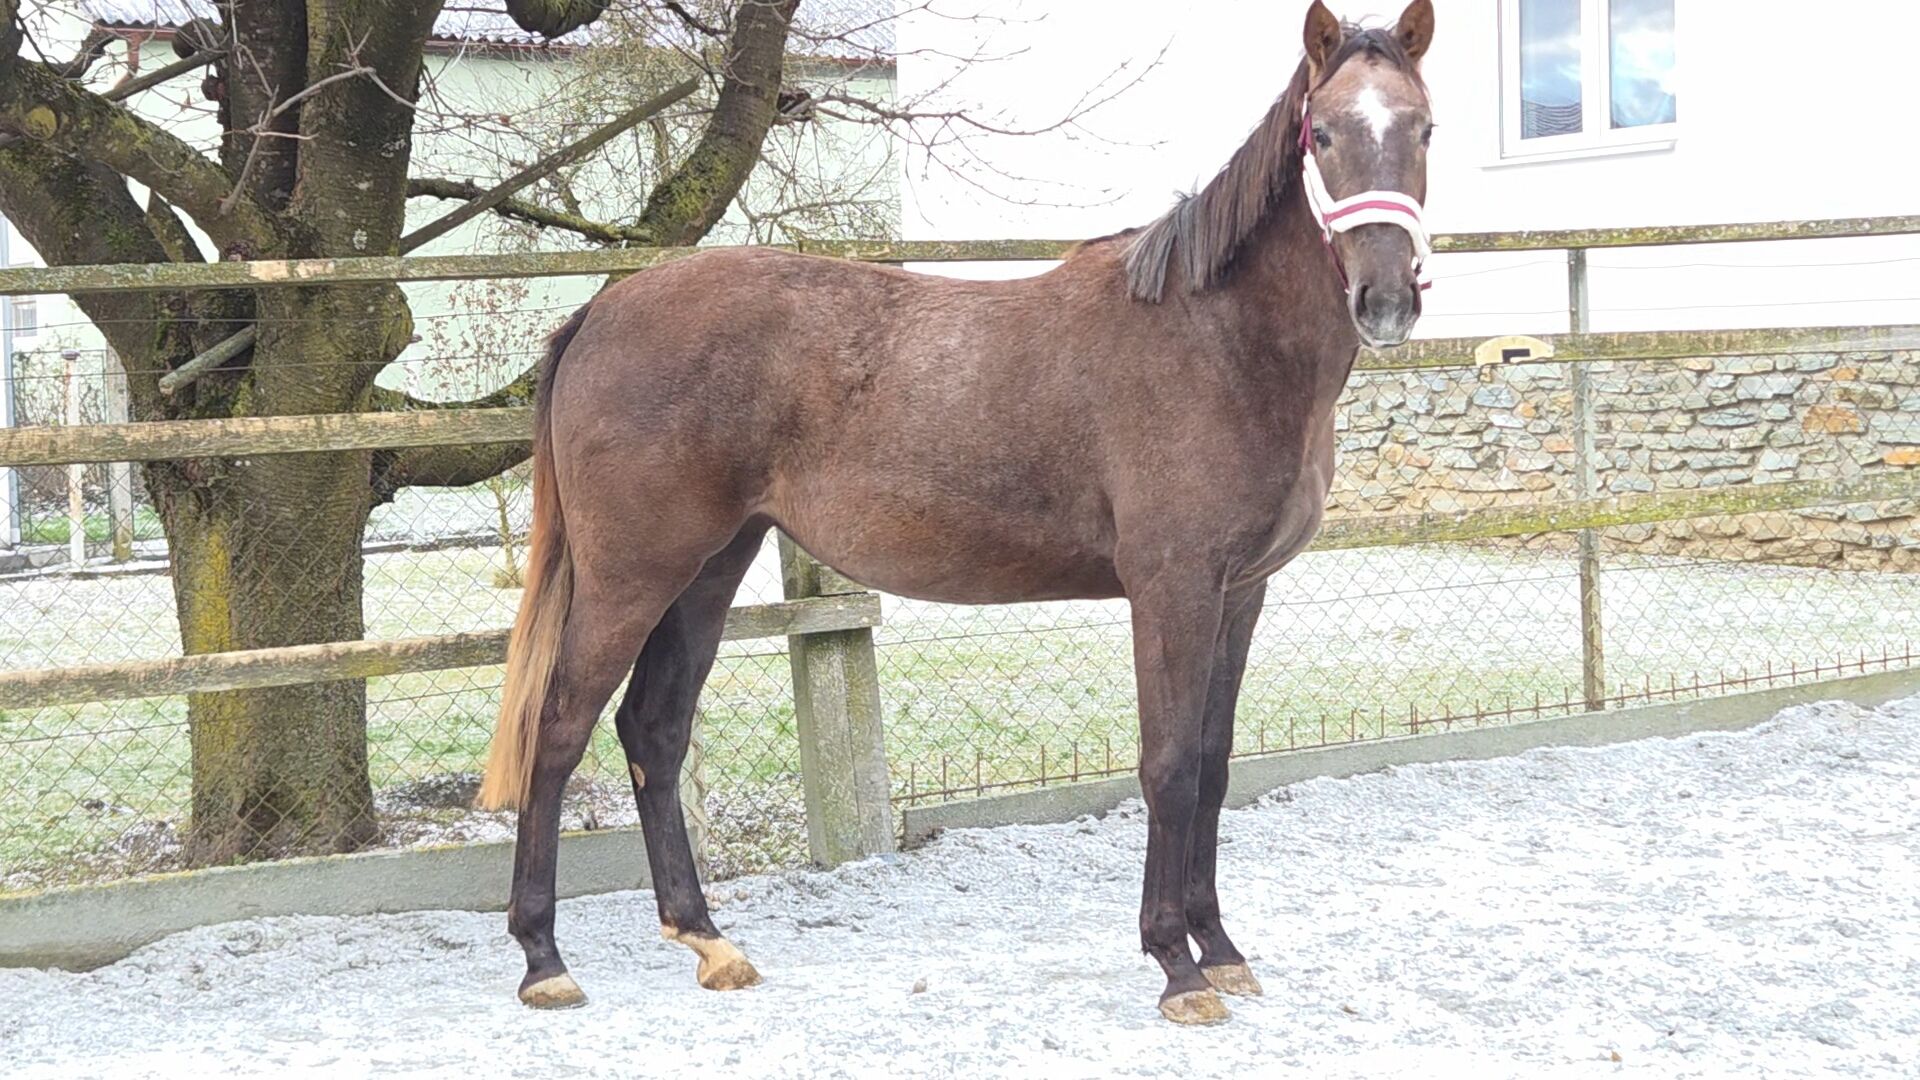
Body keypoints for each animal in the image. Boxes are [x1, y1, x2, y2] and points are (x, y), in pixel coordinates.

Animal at [476, 0, 1437, 1026]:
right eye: (1323, 132)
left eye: (1423, 129)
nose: (1385, 298)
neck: (1216, 338)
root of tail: (602, 311)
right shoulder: (1171, 590)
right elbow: (1170, 766)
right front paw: (1176, 965)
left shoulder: (1239, 594)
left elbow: (1215, 767)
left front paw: (1220, 951)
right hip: (632, 573)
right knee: (560, 726)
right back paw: (542, 958)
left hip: (710, 565)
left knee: (654, 730)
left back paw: (706, 939)